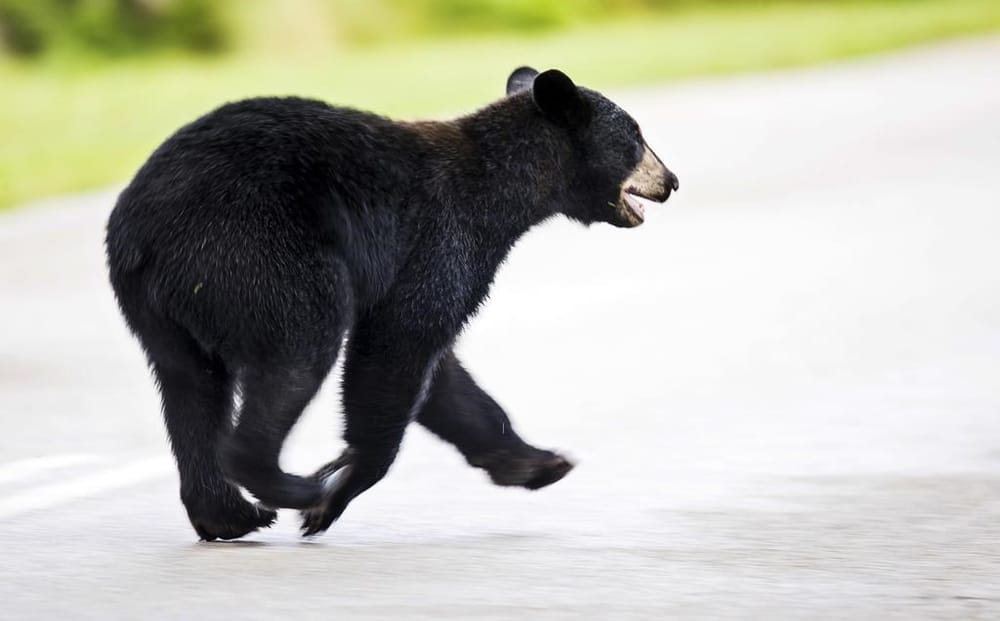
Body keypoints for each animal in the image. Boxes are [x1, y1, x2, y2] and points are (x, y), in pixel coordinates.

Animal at [105, 65, 680, 536]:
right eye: (635, 136)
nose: (672, 180)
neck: (503, 190)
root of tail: (141, 228)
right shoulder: (442, 238)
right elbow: (398, 347)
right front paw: (336, 492)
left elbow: (444, 377)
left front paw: (537, 461)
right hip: (256, 253)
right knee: (298, 349)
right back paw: (292, 486)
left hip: (162, 306)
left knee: (190, 386)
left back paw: (227, 515)